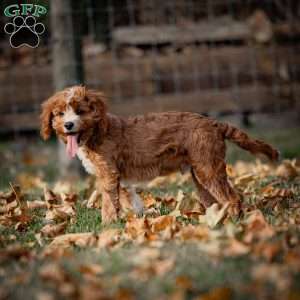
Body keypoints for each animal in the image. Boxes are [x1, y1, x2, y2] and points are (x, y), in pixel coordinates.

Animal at [40, 86, 278, 223]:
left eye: (80, 111)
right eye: (59, 114)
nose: (68, 125)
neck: (98, 130)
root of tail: (214, 123)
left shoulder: (108, 174)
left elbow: (108, 204)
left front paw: (106, 229)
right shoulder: (120, 179)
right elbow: (129, 201)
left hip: (208, 169)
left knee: (232, 198)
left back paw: (235, 223)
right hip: (201, 174)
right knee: (216, 200)